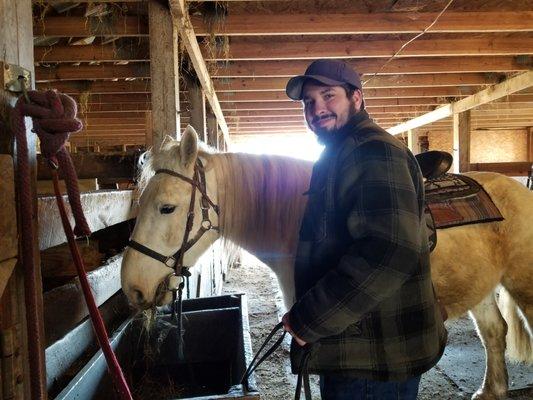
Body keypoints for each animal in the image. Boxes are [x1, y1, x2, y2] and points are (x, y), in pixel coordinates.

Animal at [120, 126, 532, 400]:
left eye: (167, 207)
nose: (132, 287)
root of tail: (516, 187)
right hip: (479, 288)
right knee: (495, 333)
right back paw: (492, 391)